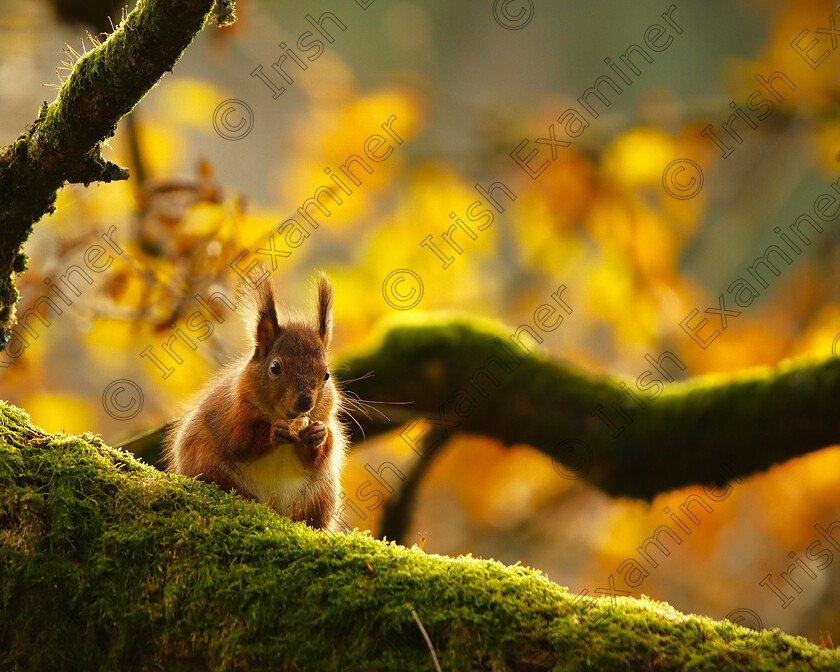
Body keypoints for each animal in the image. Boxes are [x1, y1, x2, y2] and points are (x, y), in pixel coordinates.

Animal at [162, 270, 346, 532]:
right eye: (275, 367)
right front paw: (274, 432)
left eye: (327, 375)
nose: (305, 402)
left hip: (320, 493)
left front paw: (318, 434)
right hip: (205, 460)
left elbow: (321, 454)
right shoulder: (230, 412)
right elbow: (238, 441)